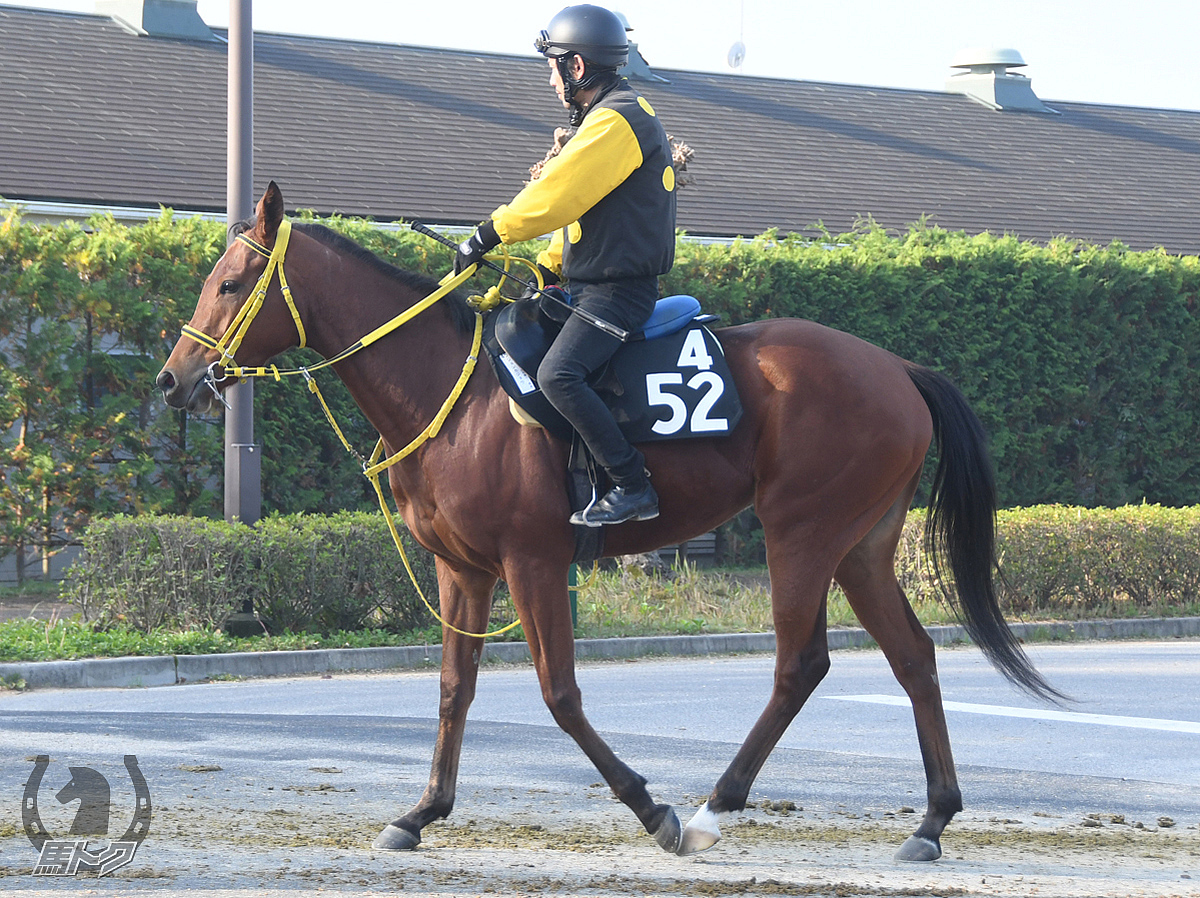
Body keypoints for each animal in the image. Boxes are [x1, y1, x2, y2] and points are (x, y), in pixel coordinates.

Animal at [152, 182, 1060, 864]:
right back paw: (931, 820)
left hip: (802, 532)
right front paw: (421, 811)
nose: (173, 378)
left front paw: (649, 807)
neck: (454, 392)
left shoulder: (533, 562)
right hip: (862, 546)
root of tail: (898, 368)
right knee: (913, 657)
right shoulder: (463, 568)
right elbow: (452, 688)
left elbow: (558, 692)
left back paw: (712, 807)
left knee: (799, 664)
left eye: (229, 284)